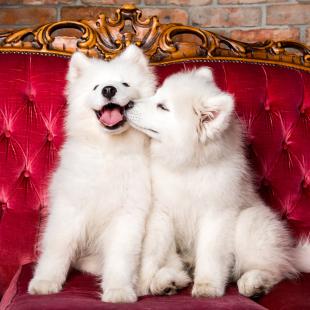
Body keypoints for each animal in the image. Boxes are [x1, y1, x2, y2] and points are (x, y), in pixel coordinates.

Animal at [27, 44, 156, 302]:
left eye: (125, 83)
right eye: (96, 87)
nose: (108, 89)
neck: (108, 150)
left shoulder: (127, 213)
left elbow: (121, 257)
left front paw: (118, 290)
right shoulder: (69, 207)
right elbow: (57, 248)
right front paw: (45, 282)